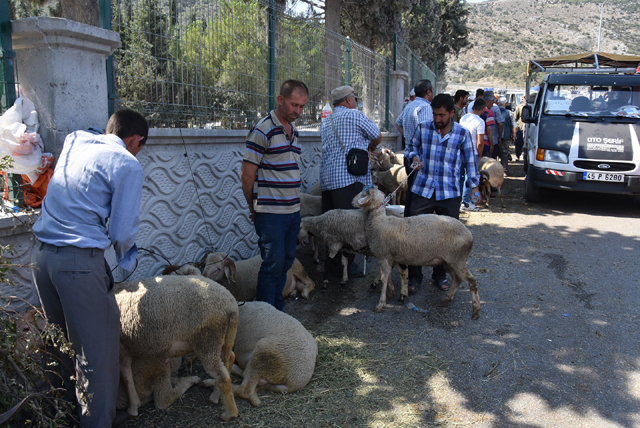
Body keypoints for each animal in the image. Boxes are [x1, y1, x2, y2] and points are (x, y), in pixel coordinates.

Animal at [114, 276, 239, 420]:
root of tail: (231, 306)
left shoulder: (121, 348)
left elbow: (126, 375)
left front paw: (133, 406)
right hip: (224, 336)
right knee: (230, 358)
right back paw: (216, 393)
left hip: (208, 339)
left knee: (222, 376)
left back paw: (230, 413)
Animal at [352, 186, 482, 320]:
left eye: (362, 193)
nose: (352, 201)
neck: (377, 220)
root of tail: (469, 234)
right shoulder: (390, 258)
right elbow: (388, 278)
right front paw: (392, 292)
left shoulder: (384, 256)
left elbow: (384, 279)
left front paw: (381, 304)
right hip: (448, 261)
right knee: (457, 279)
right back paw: (446, 299)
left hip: (458, 259)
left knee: (471, 282)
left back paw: (476, 311)